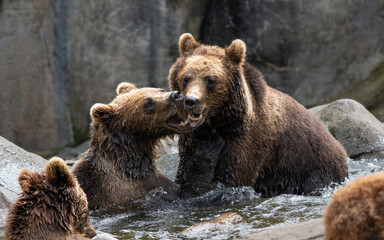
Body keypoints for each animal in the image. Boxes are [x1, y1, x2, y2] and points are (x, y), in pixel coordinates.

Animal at [168, 33, 348, 197]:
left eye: (211, 80)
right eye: (186, 77)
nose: (191, 101)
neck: (220, 120)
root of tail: (341, 150)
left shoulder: (246, 141)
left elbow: (228, 181)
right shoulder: (189, 141)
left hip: (312, 168)